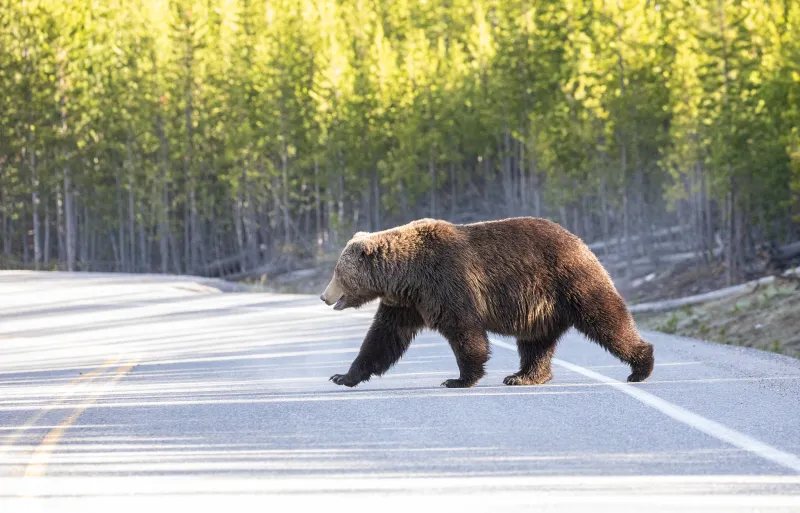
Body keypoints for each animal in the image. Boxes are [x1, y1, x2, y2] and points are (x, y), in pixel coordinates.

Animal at [319, 217, 654, 388]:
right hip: (540, 307)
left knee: (605, 318)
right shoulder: (406, 303)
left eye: (337, 272)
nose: (324, 296)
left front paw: (459, 379)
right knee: (535, 342)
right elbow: (383, 339)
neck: (406, 275)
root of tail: (581, 241)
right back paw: (524, 376)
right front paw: (343, 376)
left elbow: (464, 330)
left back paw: (641, 366)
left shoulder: (446, 282)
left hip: (569, 280)